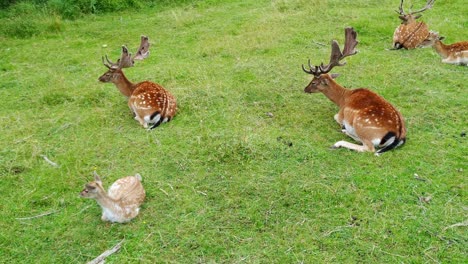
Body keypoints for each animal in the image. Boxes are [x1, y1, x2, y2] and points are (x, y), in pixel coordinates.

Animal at [304, 27, 406, 155]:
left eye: (313, 82)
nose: (305, 89)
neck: (343, 98)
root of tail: (398, 136)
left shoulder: (341, 114)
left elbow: (335, 117)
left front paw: (343, 128)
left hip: (362, 126)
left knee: (369, 148)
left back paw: (340, 140)